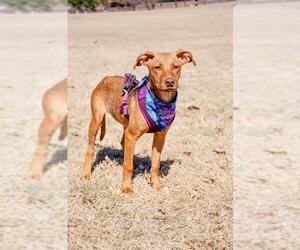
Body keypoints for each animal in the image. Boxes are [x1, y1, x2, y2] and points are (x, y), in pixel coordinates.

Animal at [81, 49, 196, 192]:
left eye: (176, 66)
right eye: (157, 67)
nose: (169, 82)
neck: (161, 102)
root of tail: (105, 78)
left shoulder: (160, 136)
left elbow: (155, 164)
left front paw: (156, 184)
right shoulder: (132, 134)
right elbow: (127, 165)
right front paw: (126, 188)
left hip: (126, 124)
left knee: (123, 144)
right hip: (96, 120)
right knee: (90, 150)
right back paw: (86, 174)